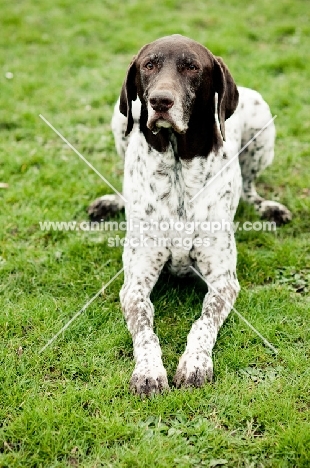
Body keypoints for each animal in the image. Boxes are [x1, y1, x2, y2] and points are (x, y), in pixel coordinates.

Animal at [88, 33, 292, 394]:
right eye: (149, 65)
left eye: (192, 67)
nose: (160, 101)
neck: (178, 168)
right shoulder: (134, 283)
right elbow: (145, 330)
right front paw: (149, 371)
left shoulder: (224, 281)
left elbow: (204, 322)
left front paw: (196, 363)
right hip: (121, 117)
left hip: (262, 122)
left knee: (250, 186)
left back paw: (268, 207)